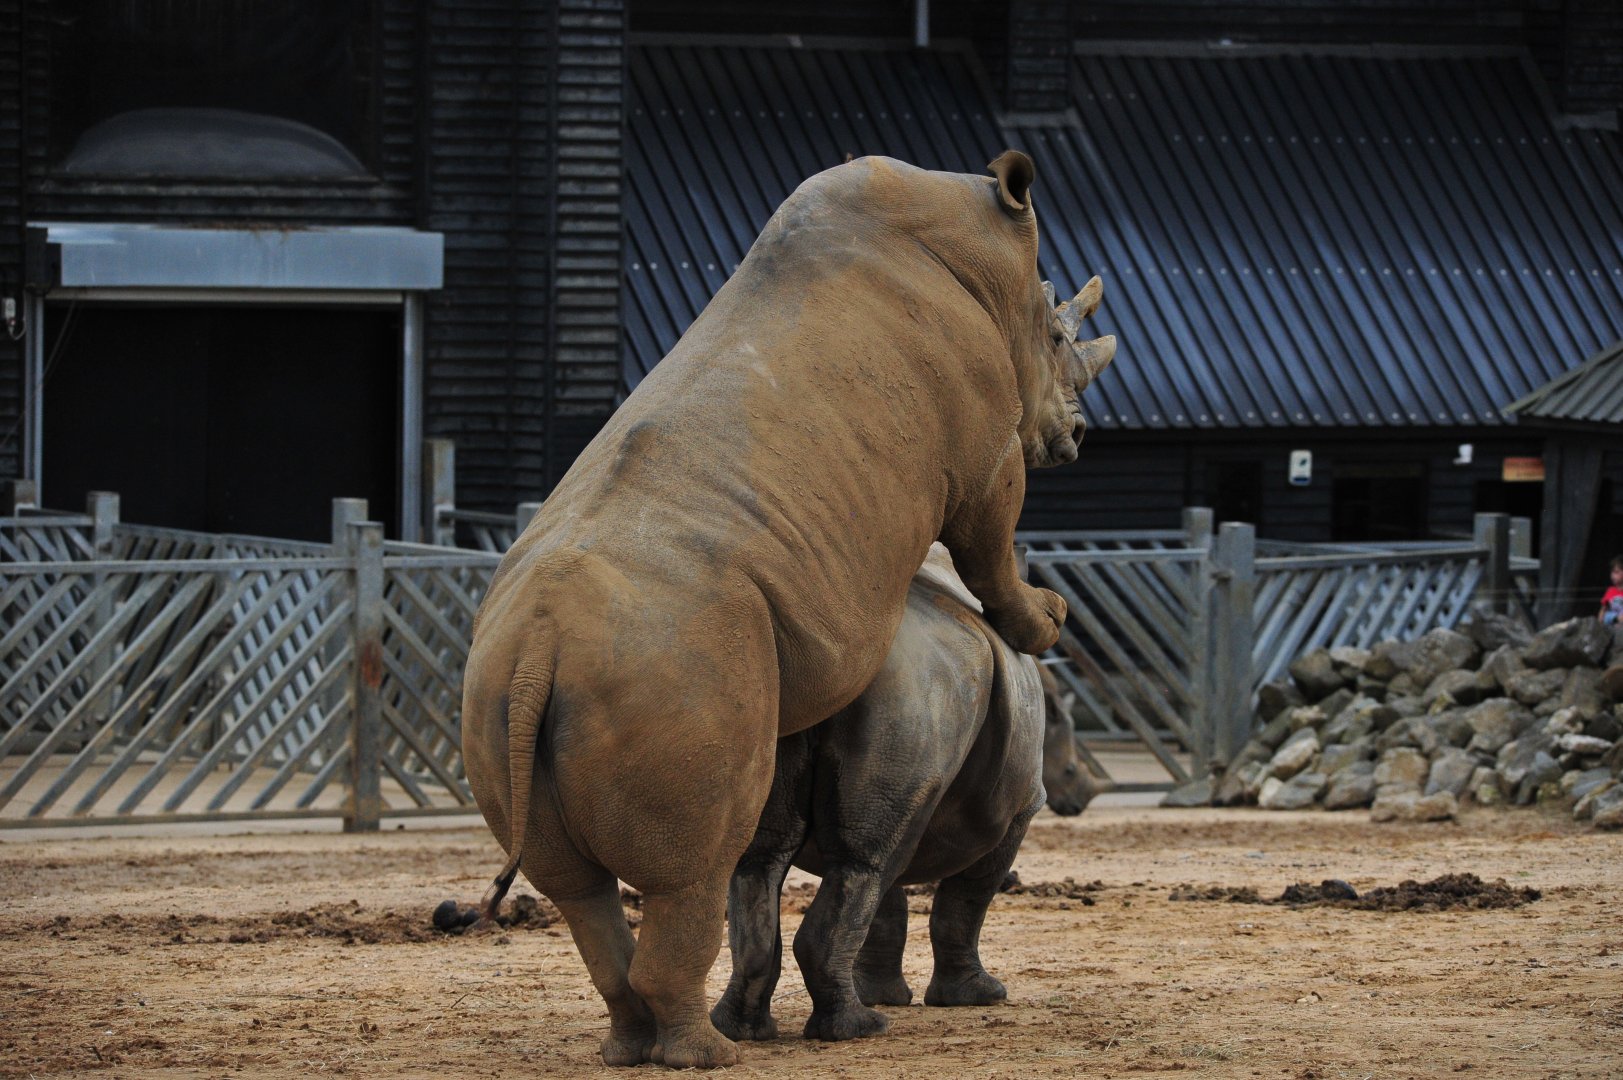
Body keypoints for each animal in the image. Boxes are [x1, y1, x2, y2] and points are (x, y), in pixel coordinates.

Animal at [711, 544, 1100, 1044]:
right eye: (1069, 769)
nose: (1079, 803)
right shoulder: (1020, 809)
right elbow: (966, 900)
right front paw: (980, 997)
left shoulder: (906, 794)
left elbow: (887, 906)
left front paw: (882, 993)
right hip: (914, 692)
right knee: (867, 864)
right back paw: (860, 1030)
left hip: (792, 691)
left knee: (774, 859)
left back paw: (742, 1031)